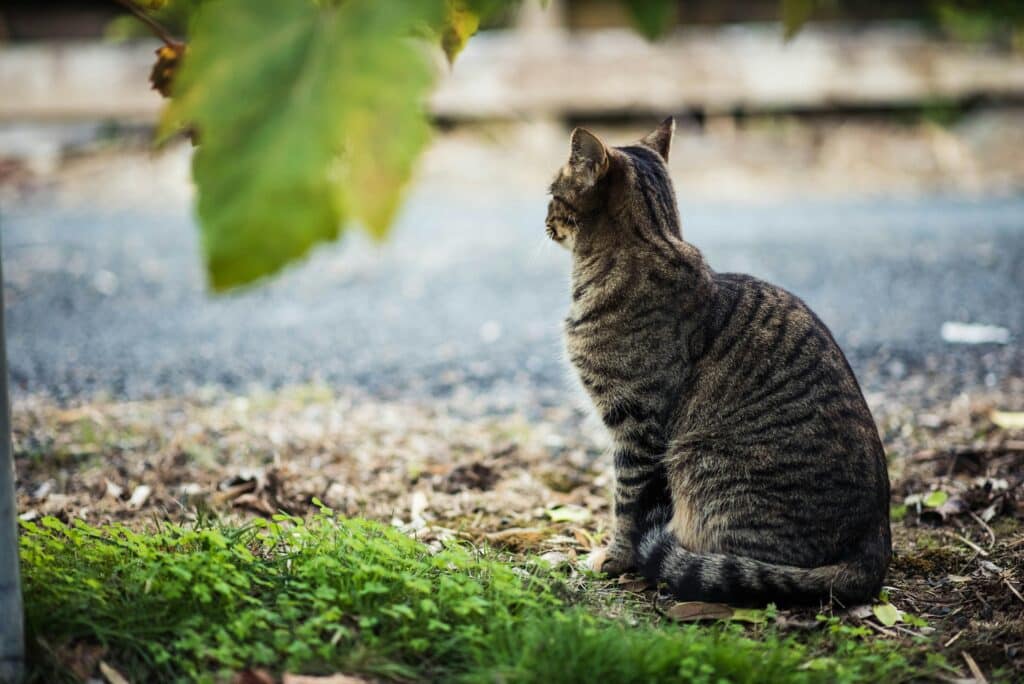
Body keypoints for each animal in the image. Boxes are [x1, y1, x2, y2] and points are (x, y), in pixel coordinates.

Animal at [544, 118, 888, 602]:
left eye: (552, 193)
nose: (543, 221)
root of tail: (875, 550)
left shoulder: (637, 426)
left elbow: (627, 505)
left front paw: (614, 560)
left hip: (698, 462)